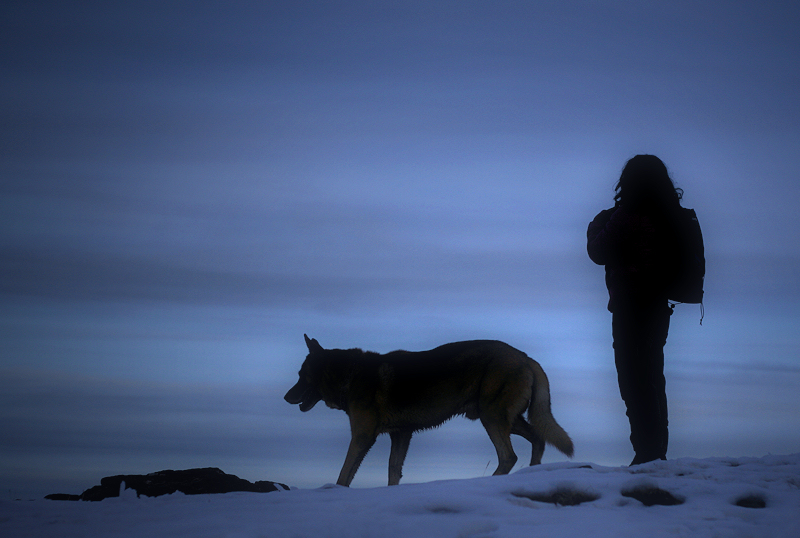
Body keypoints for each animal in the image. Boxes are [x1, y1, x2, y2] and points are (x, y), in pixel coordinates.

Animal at [284, 332, 572, 484]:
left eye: (300, 376)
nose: (286, 397)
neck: (349, 375)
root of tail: (526, 357)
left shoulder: (362, 437)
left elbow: (344, 474)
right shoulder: (401, 435)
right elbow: (393, 471)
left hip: (492, 418)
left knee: (508, 456)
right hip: (507, 419)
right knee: (537, 438)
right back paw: (532, 473)